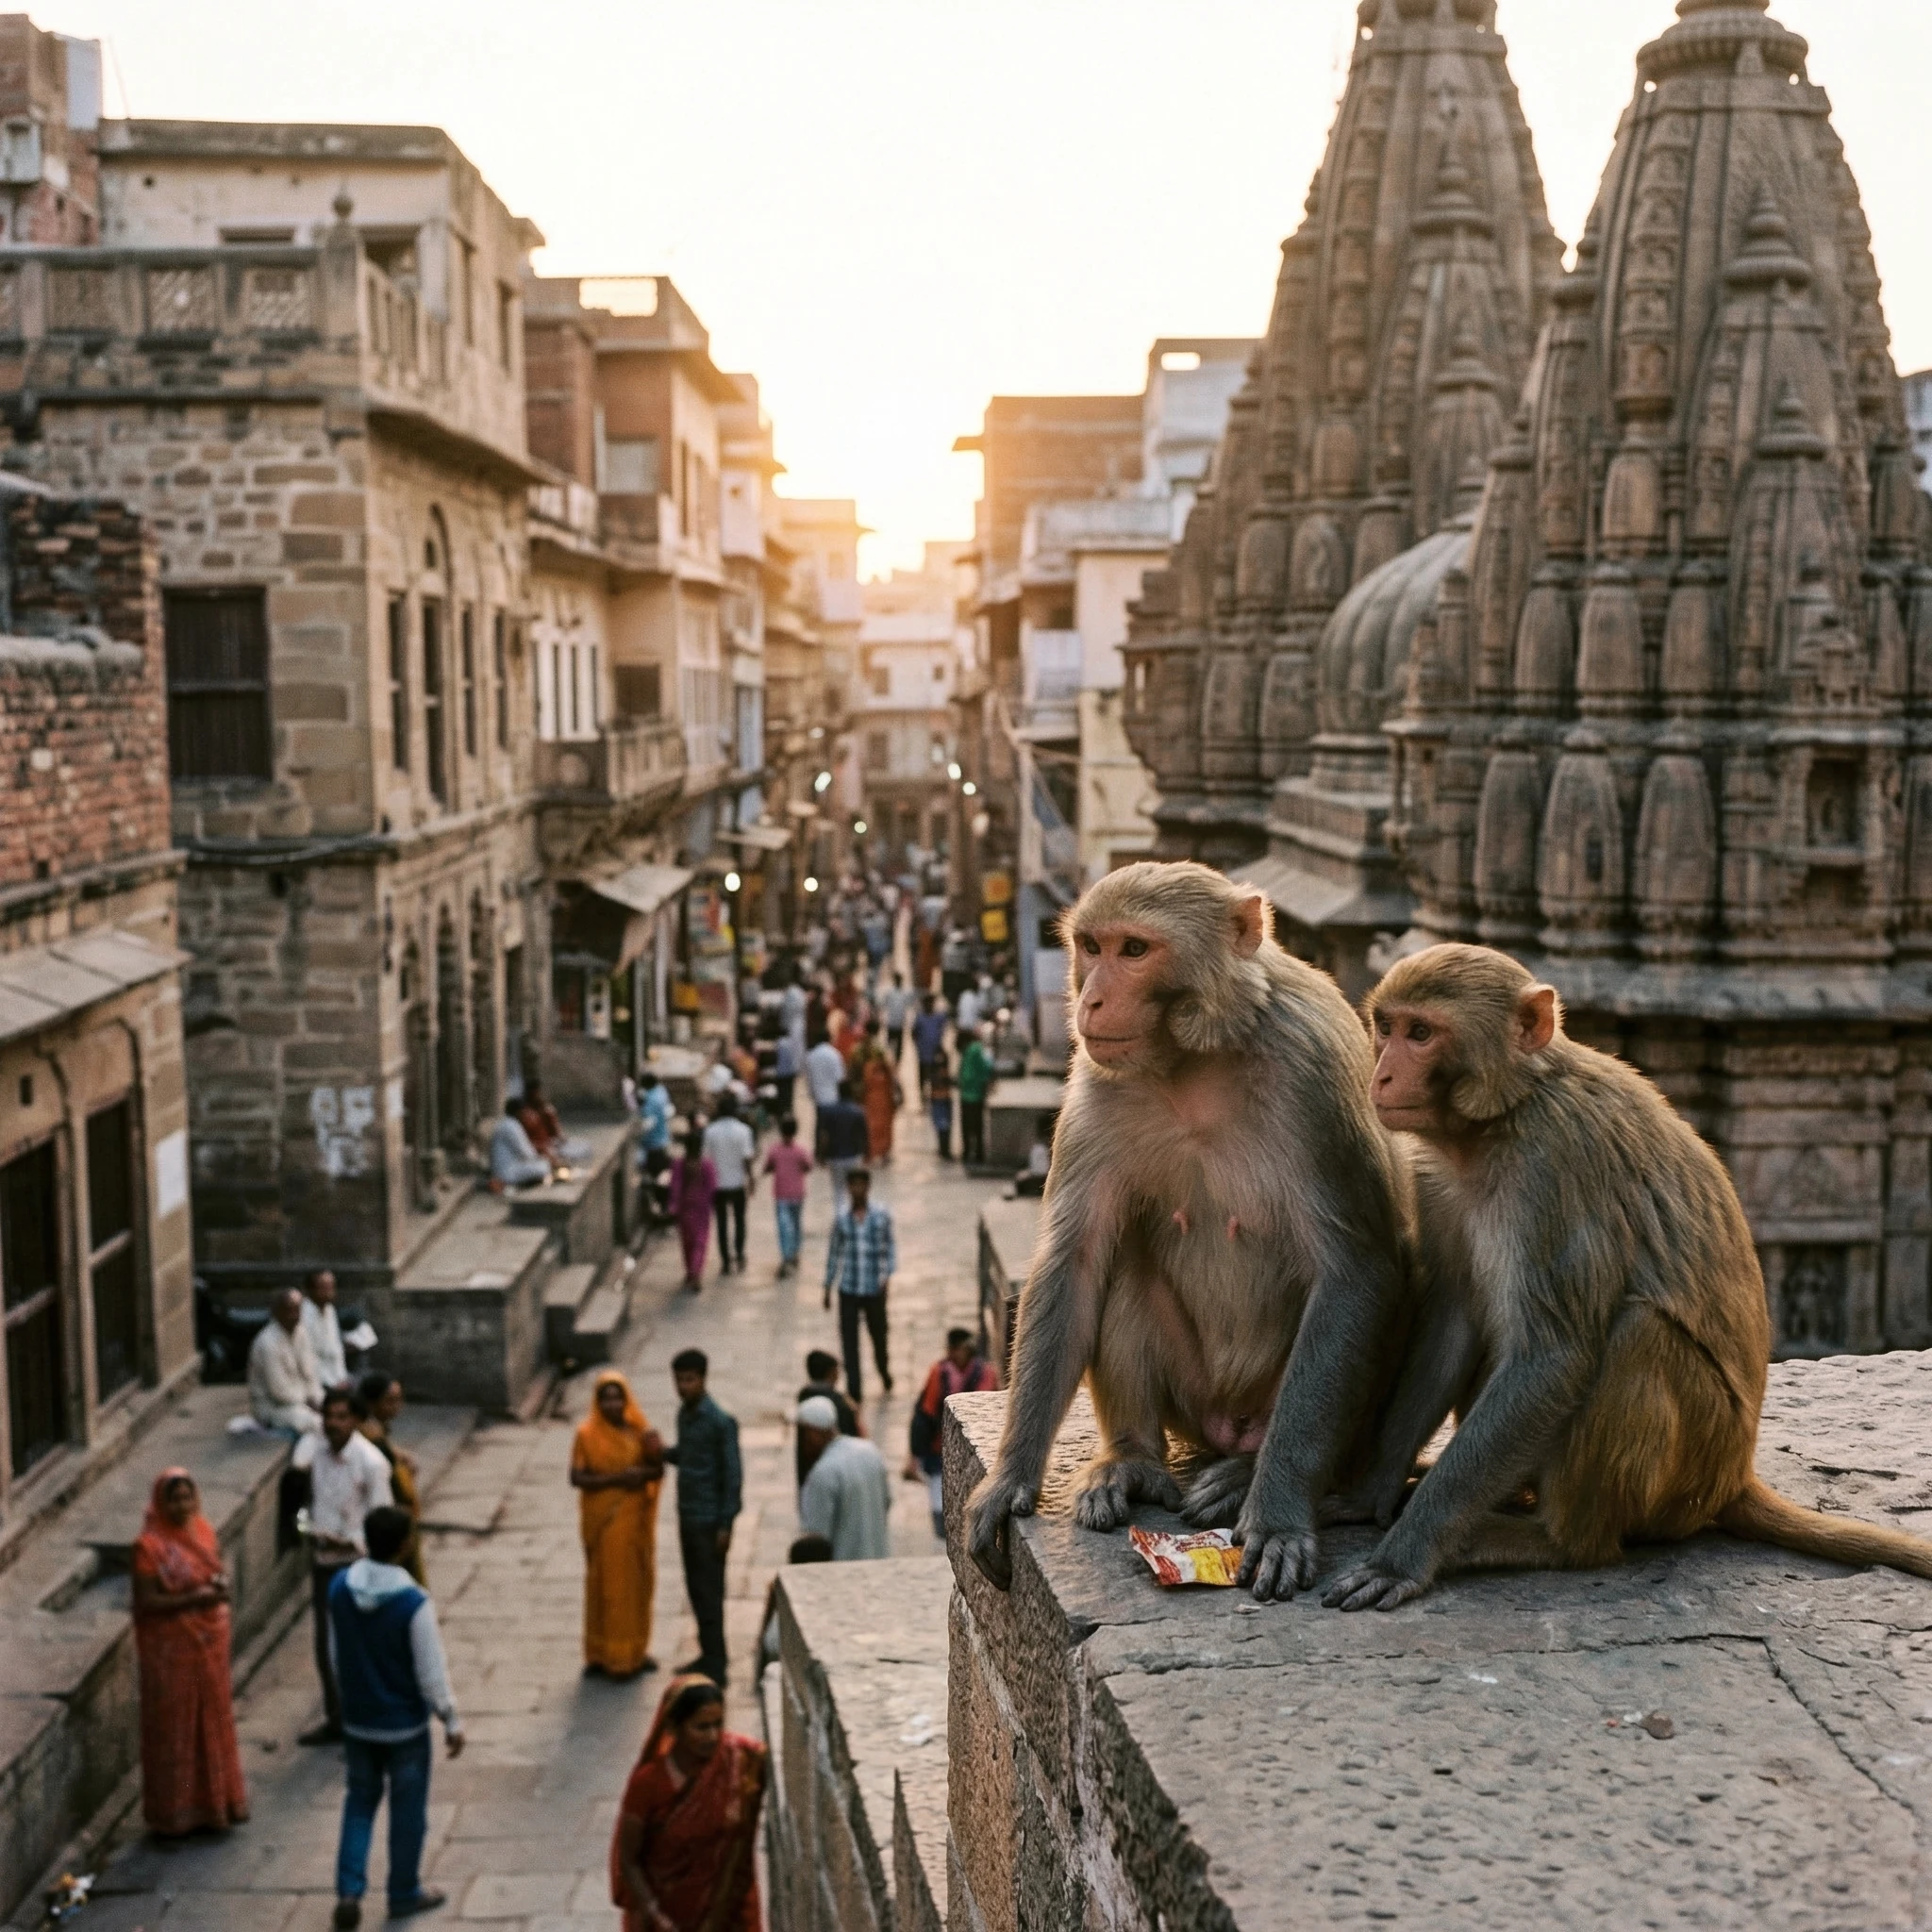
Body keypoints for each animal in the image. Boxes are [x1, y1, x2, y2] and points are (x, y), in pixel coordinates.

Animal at [962, 860, 1412, 1602]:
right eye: (1092, 945)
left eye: (1134, 950)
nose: (1092, 1002)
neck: (1196, 1056)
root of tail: (1228, 1425)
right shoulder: (1098, 1079)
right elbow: (1076, 1258)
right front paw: (1008, 1482)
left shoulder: (1311, 1068)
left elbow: (1358, 1271)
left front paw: (1278, 1515)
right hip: (1193, 1400)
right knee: (1121, 1263)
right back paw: (1134, 1462)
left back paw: (1246, 1476)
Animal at [1322, 941, 1932, 1613]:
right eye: (1386, 1027)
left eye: (1422, 1034)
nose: (1380, 1075)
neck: (1499, 1121)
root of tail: (1736, 1475)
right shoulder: (1437, 1177)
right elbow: (1454, 1319)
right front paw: (1371, 1492)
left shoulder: (1552, 1162)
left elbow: (1554, 1358)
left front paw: (1405, 1554)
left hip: (1688, 1477)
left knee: (1637, 1335)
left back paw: (1555, 1542)